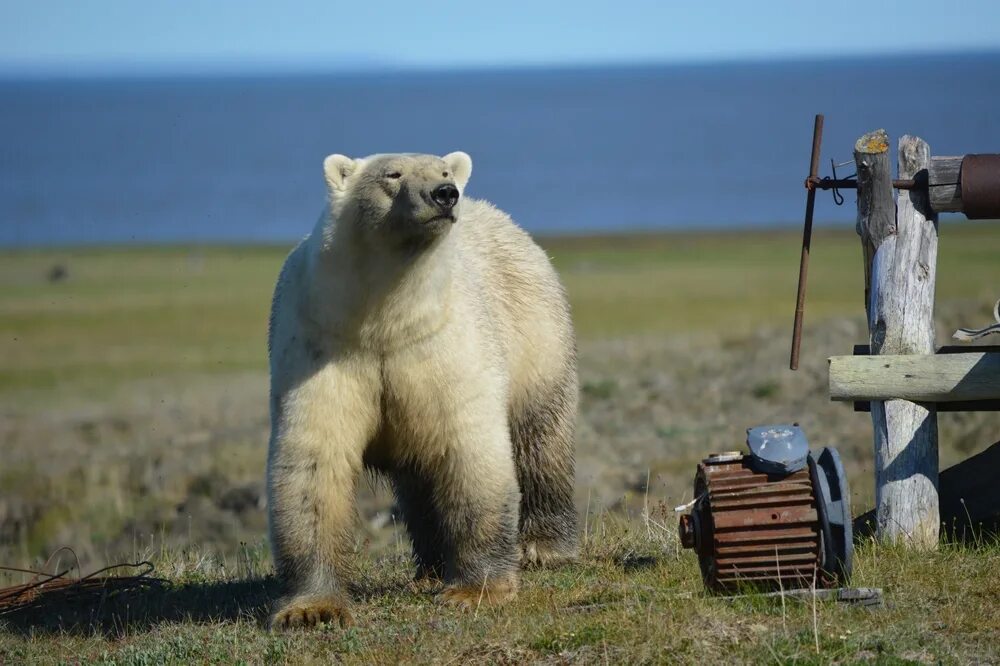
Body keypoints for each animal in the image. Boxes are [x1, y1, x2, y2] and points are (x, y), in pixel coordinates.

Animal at [266, 150, 580, 628]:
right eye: (392, 174)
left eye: (445, 171)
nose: (446, 193)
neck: (383, 318)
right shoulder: (320, 342)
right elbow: (314, 460)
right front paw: (311, 609)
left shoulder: (445, 346)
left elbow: (468, 448)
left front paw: (475, 591)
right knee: (421, 480)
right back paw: (431, 566)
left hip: (538, 338)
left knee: (539, 440)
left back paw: (543, 546)